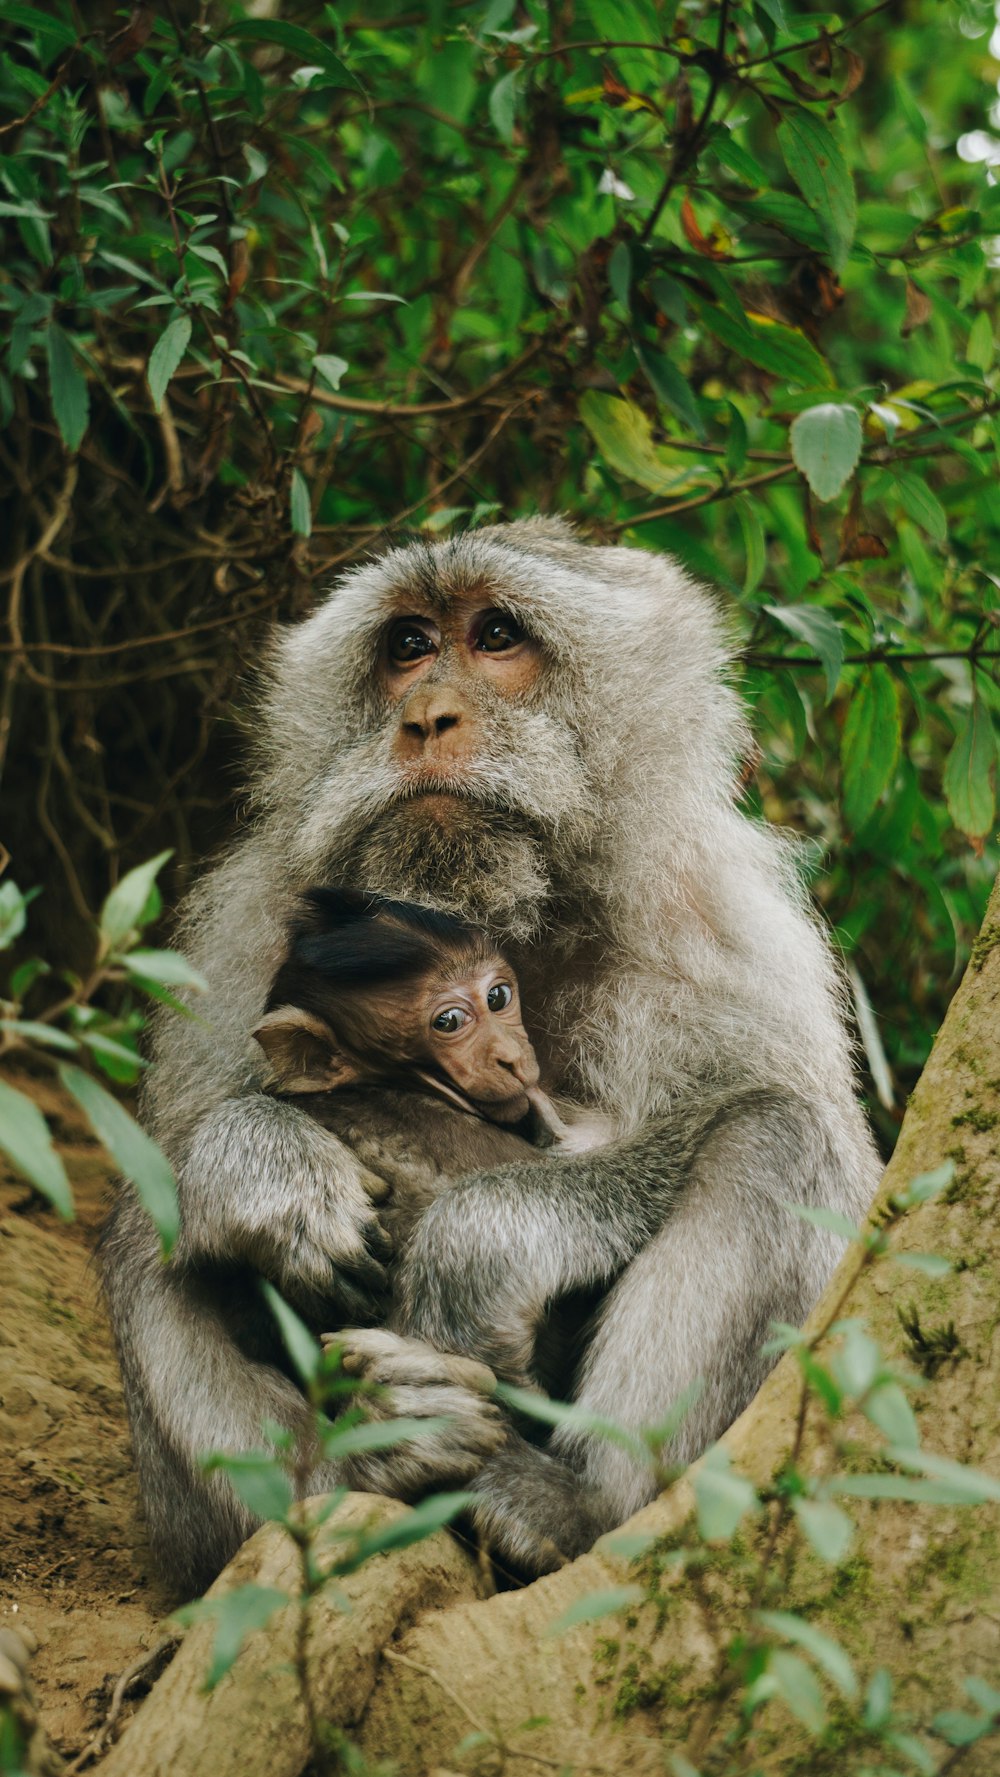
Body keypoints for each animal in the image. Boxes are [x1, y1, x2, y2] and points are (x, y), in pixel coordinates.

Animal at [101, 518, 880, 1592]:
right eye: (408, 646)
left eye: (497, 634)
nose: (427, 716)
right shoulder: (246, 926)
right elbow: (186, 1135)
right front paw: (262, 1164)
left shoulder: (722, 928)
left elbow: (809, 1153)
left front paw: (484, 1243)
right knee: (151, 1223)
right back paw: (343, 1482)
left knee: (778, 1138)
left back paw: (572, 1507)